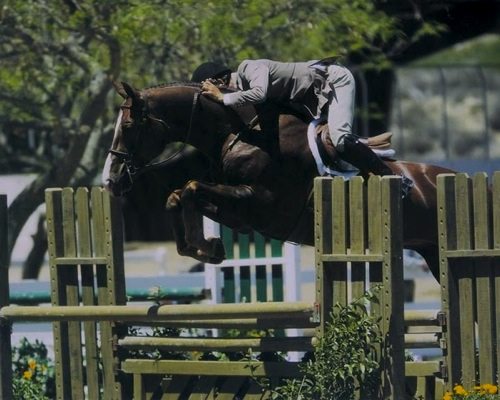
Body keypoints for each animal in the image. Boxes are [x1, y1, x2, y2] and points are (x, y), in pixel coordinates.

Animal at [103, 81, 456, 282]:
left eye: (129, 126)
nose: (111, 179)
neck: (241, 134)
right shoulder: (242, 215)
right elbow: (178, 196)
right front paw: (206, 249)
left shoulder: (261, 204)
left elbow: (189, 188)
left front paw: (205, 247)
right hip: (432, 256)